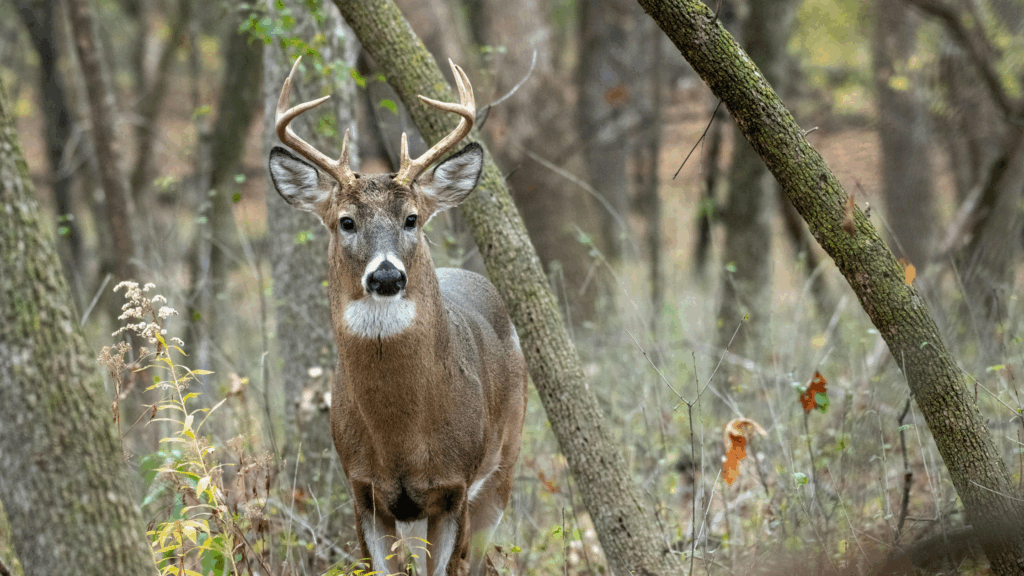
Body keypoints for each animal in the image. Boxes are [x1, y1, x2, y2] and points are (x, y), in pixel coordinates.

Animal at [268, 57, 528, 576]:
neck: (402, 438)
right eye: (346, 221)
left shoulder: (453, 488)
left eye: (411, 218)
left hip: (504, 464)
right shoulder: (363, 490)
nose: (386, 275)